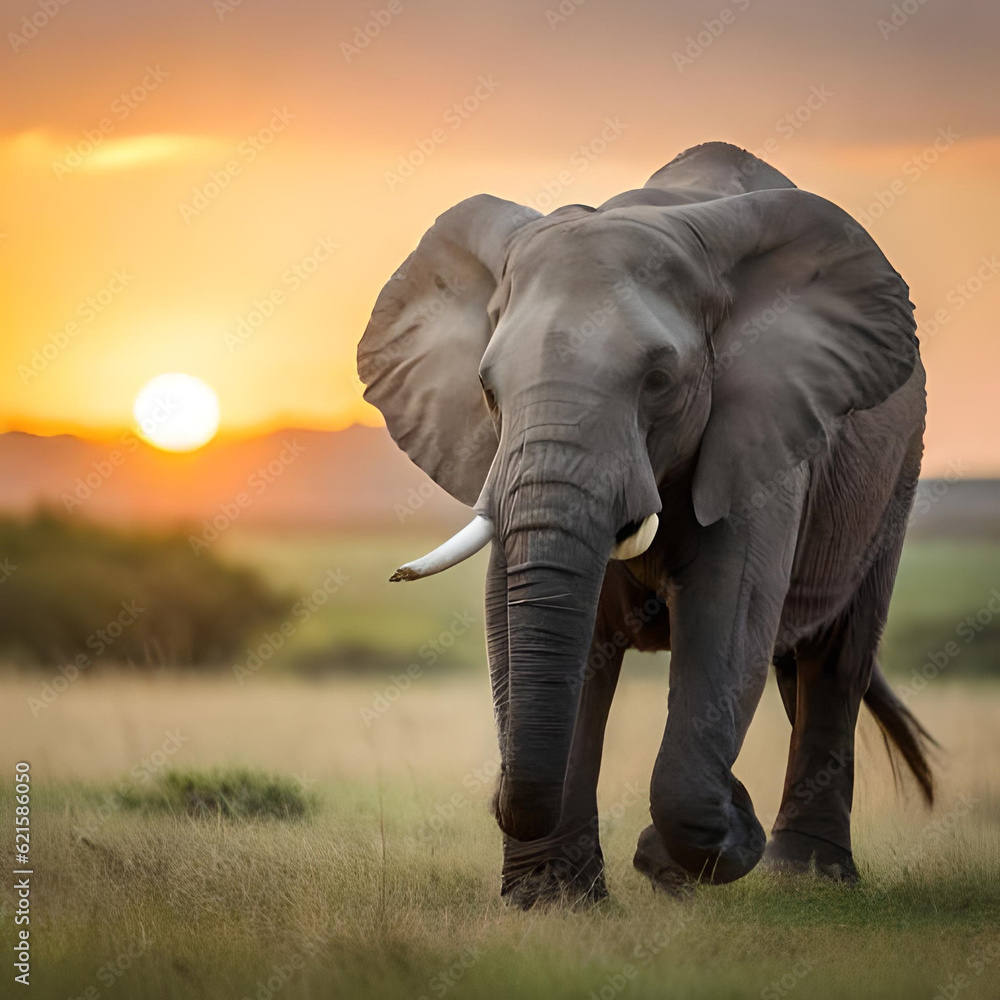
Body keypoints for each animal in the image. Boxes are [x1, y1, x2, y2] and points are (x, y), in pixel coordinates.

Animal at [357, 141, 936, 906]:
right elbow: (519, 619)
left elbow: (728, 615)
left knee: (835, 658)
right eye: (487, 390)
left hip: (896, 471)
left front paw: (681, 848)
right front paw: (552, 905)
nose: (493, 793)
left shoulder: (761, 436)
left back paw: (808, 878)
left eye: (659, 381)